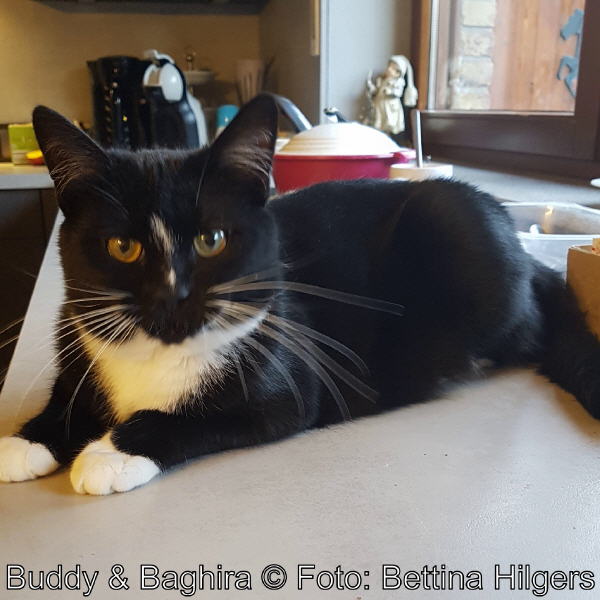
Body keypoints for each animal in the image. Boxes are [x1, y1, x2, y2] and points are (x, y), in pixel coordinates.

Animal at [0, 94, 599, 495]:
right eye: (122, 246)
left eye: (212, 239)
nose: (174, 297)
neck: (159, 355)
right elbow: (67, 398)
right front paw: (28, 440)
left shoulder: (289, 379)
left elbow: (202, 415)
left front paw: (111, 452)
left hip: (459, 231)